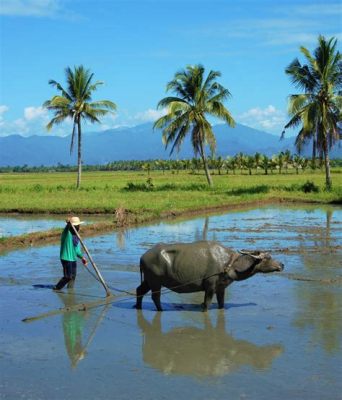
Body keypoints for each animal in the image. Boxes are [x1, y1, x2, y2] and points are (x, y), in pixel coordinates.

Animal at [135, 239, 284, 310]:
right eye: (268, 257)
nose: (282, 265)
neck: (229, 264)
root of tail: (142, 257)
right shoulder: (210, 287)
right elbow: (206, 304)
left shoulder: (221, 288)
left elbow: (221, 304)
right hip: (155, 282)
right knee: (155, 297)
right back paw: (160, 310)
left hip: (148, 280)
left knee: (139, 290)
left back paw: (137, 306)